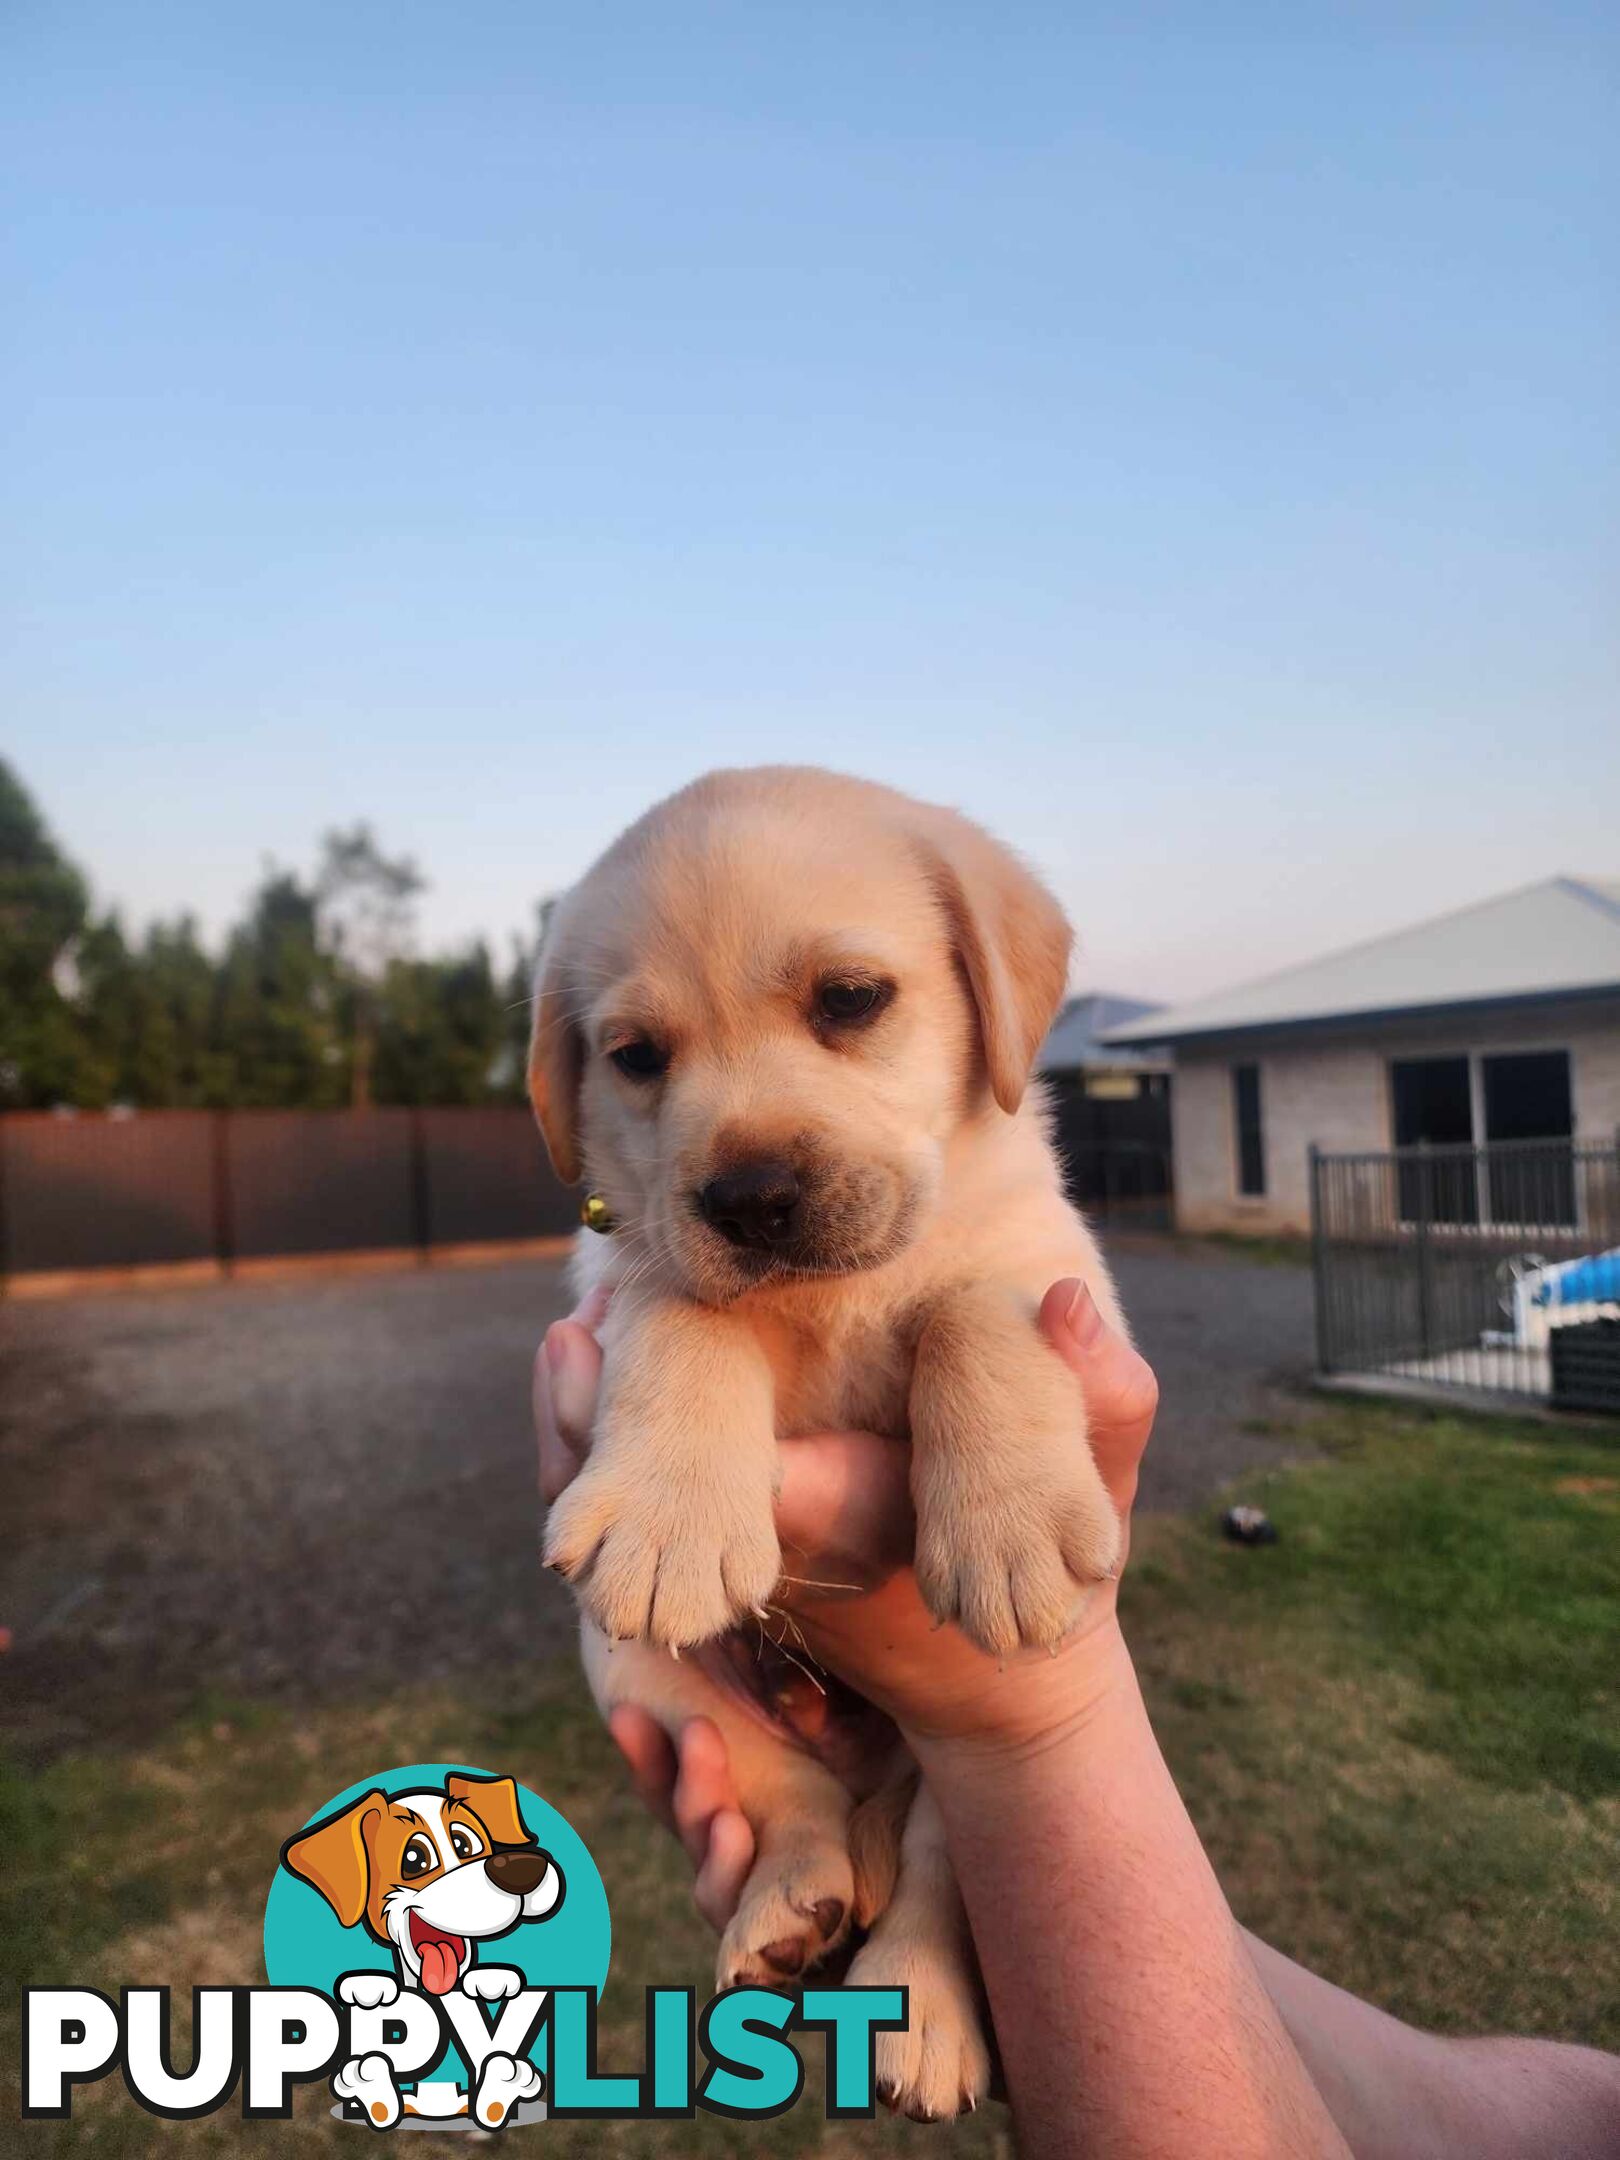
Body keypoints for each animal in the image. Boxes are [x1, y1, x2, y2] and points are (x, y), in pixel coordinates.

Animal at [533, 768, 1131, 2116]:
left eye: (850, 1000)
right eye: (636, 1059)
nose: (750, 1199)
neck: (834, 1295)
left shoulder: (1051, 1267)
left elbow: (972, 1307)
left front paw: (1010, 1527)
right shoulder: (629, 1267)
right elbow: (687, 1310)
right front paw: (669, 1517)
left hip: (959, 1770)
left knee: (933, 1869)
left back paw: (918, 2008)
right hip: (644, 1681)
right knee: (790, 1800)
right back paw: (789, 1913)